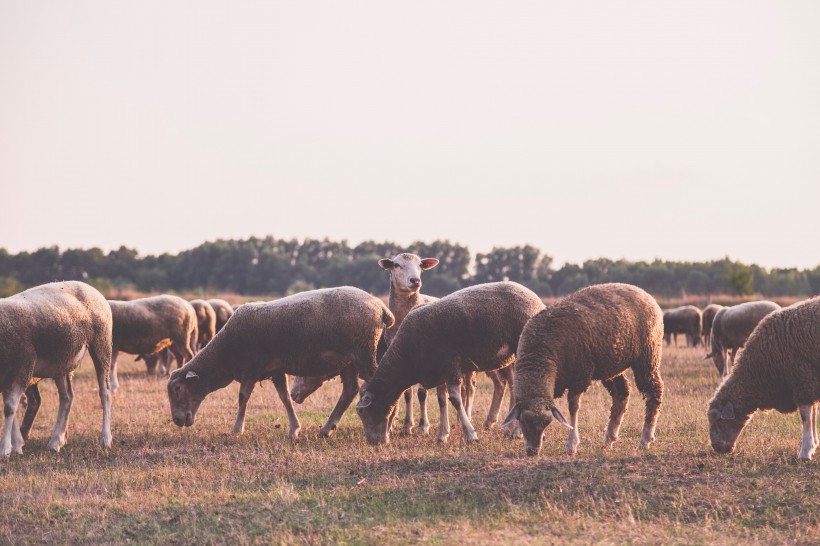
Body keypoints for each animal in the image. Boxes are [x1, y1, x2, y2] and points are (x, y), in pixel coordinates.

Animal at [0, 278, 113, 452]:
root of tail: (89, 286)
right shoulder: (7, 375)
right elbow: (11, 407)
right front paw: (17, 444)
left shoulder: (24, 365)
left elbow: (9, 408)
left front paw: (6, 448)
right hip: (62, 360)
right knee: (67, 397)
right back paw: (56, 441)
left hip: (102, 343)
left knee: (104, 392)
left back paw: (106, 439)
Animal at [166, 284, 394, 438]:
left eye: (177, 389)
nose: (177, 420)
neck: (225, 353)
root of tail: (379, 306)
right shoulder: (275, 370)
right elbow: (284, 397)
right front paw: (294, 429)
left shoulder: (251, 367)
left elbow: (242, 398)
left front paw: (236, 430)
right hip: (347, 360)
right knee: (350, 390)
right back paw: (326, 429)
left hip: (364, 352)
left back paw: (388, 424)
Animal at [354, 280, 540, 442]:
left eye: (363, 413)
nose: (374, 442)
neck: (406, 356)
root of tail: (535, 299)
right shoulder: (439, 370)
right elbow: (442, 401)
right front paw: (442, 435)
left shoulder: (450, 365)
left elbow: (455, 400)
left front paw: (470, 435)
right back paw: (510, 429)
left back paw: (516, 432)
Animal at [500, 282, 668, 456]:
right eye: (522, 421)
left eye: (546, 423)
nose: (533, 451)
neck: (540, 352)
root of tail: (643, 292)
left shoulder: (580, 376)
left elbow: (573, 407)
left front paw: (571, 444)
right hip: (612, 365)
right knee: (621, 393)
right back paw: (609, 439)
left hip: (647, 356)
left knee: (654, 392)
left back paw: (645, 439)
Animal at [704, 296, 820, 456]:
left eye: (719, 420)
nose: (717, 448)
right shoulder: (810, 383)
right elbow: (813, 413)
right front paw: (814, 444)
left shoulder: (803, 378)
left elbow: (806, 417)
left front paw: (806, 450)